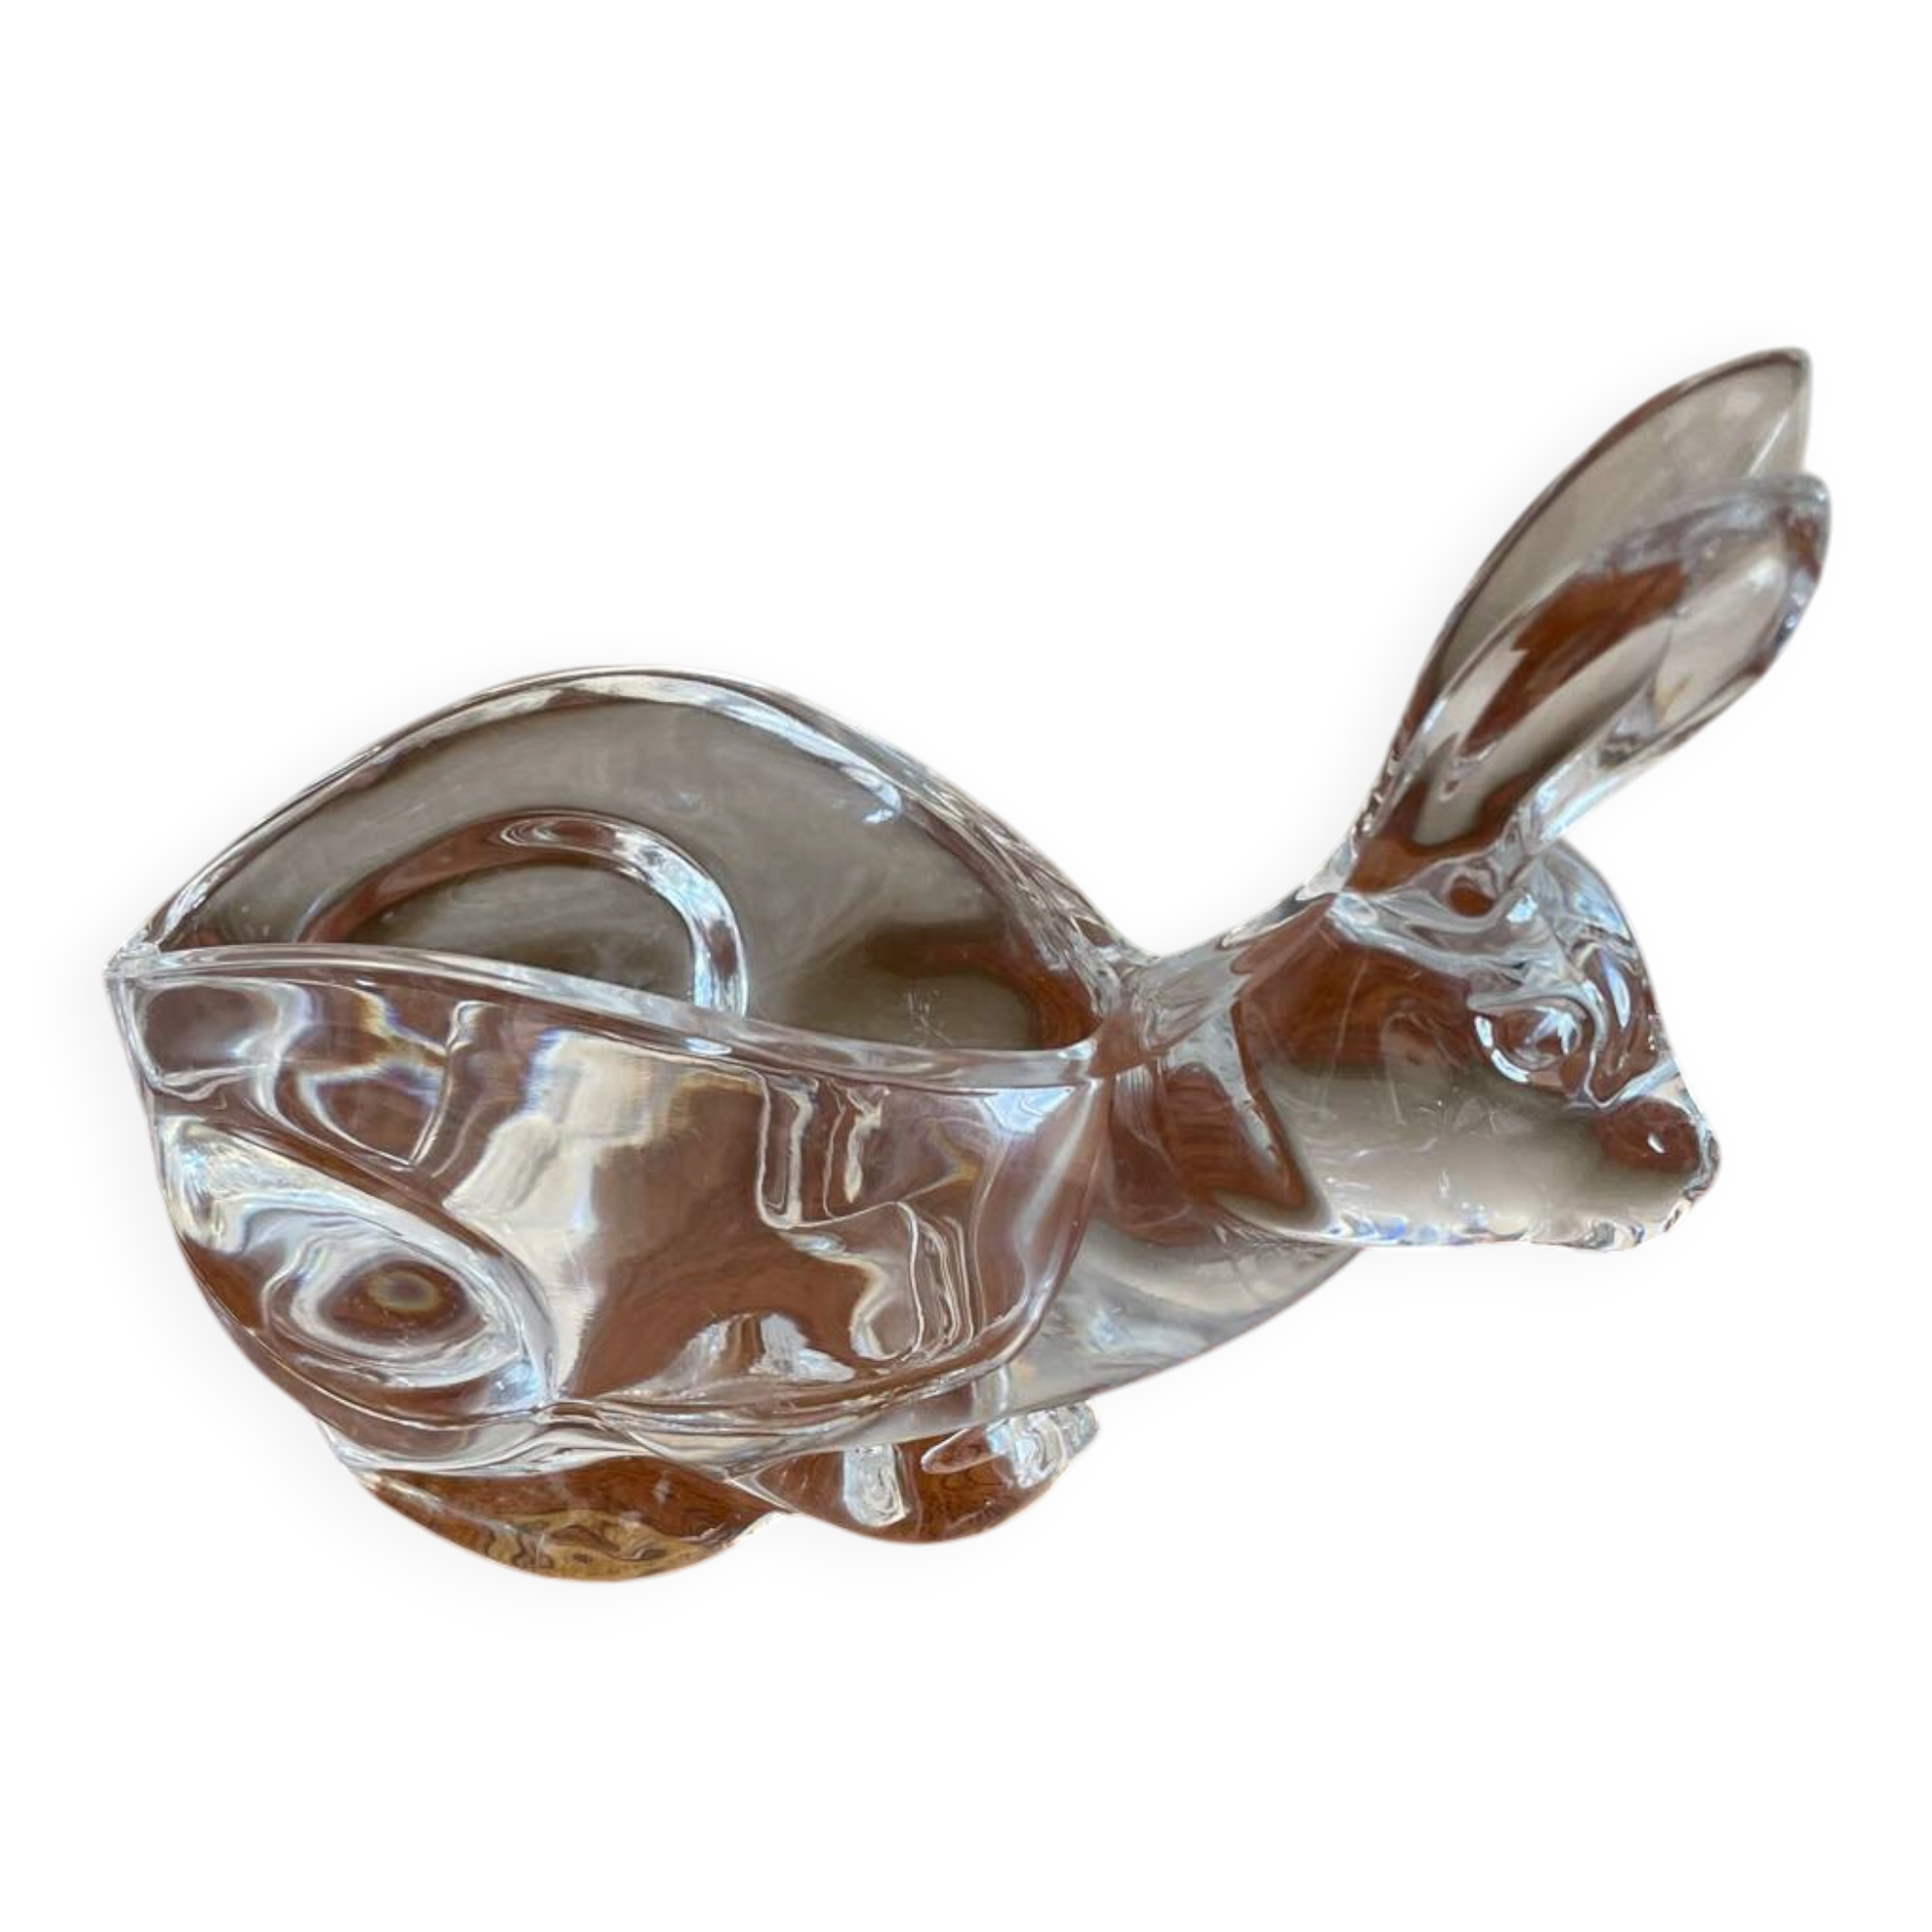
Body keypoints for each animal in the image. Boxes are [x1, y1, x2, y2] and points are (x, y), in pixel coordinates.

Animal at [104, 347, 1829, 1579]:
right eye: (1538, 1043)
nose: (1693, 1170)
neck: (1153, 1122)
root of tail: (150, 965)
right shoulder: (839, 1328)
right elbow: (815, 1437)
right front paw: (931, 1499)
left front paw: (1013, 1468)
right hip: (416, 1285)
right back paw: (592, 1523)